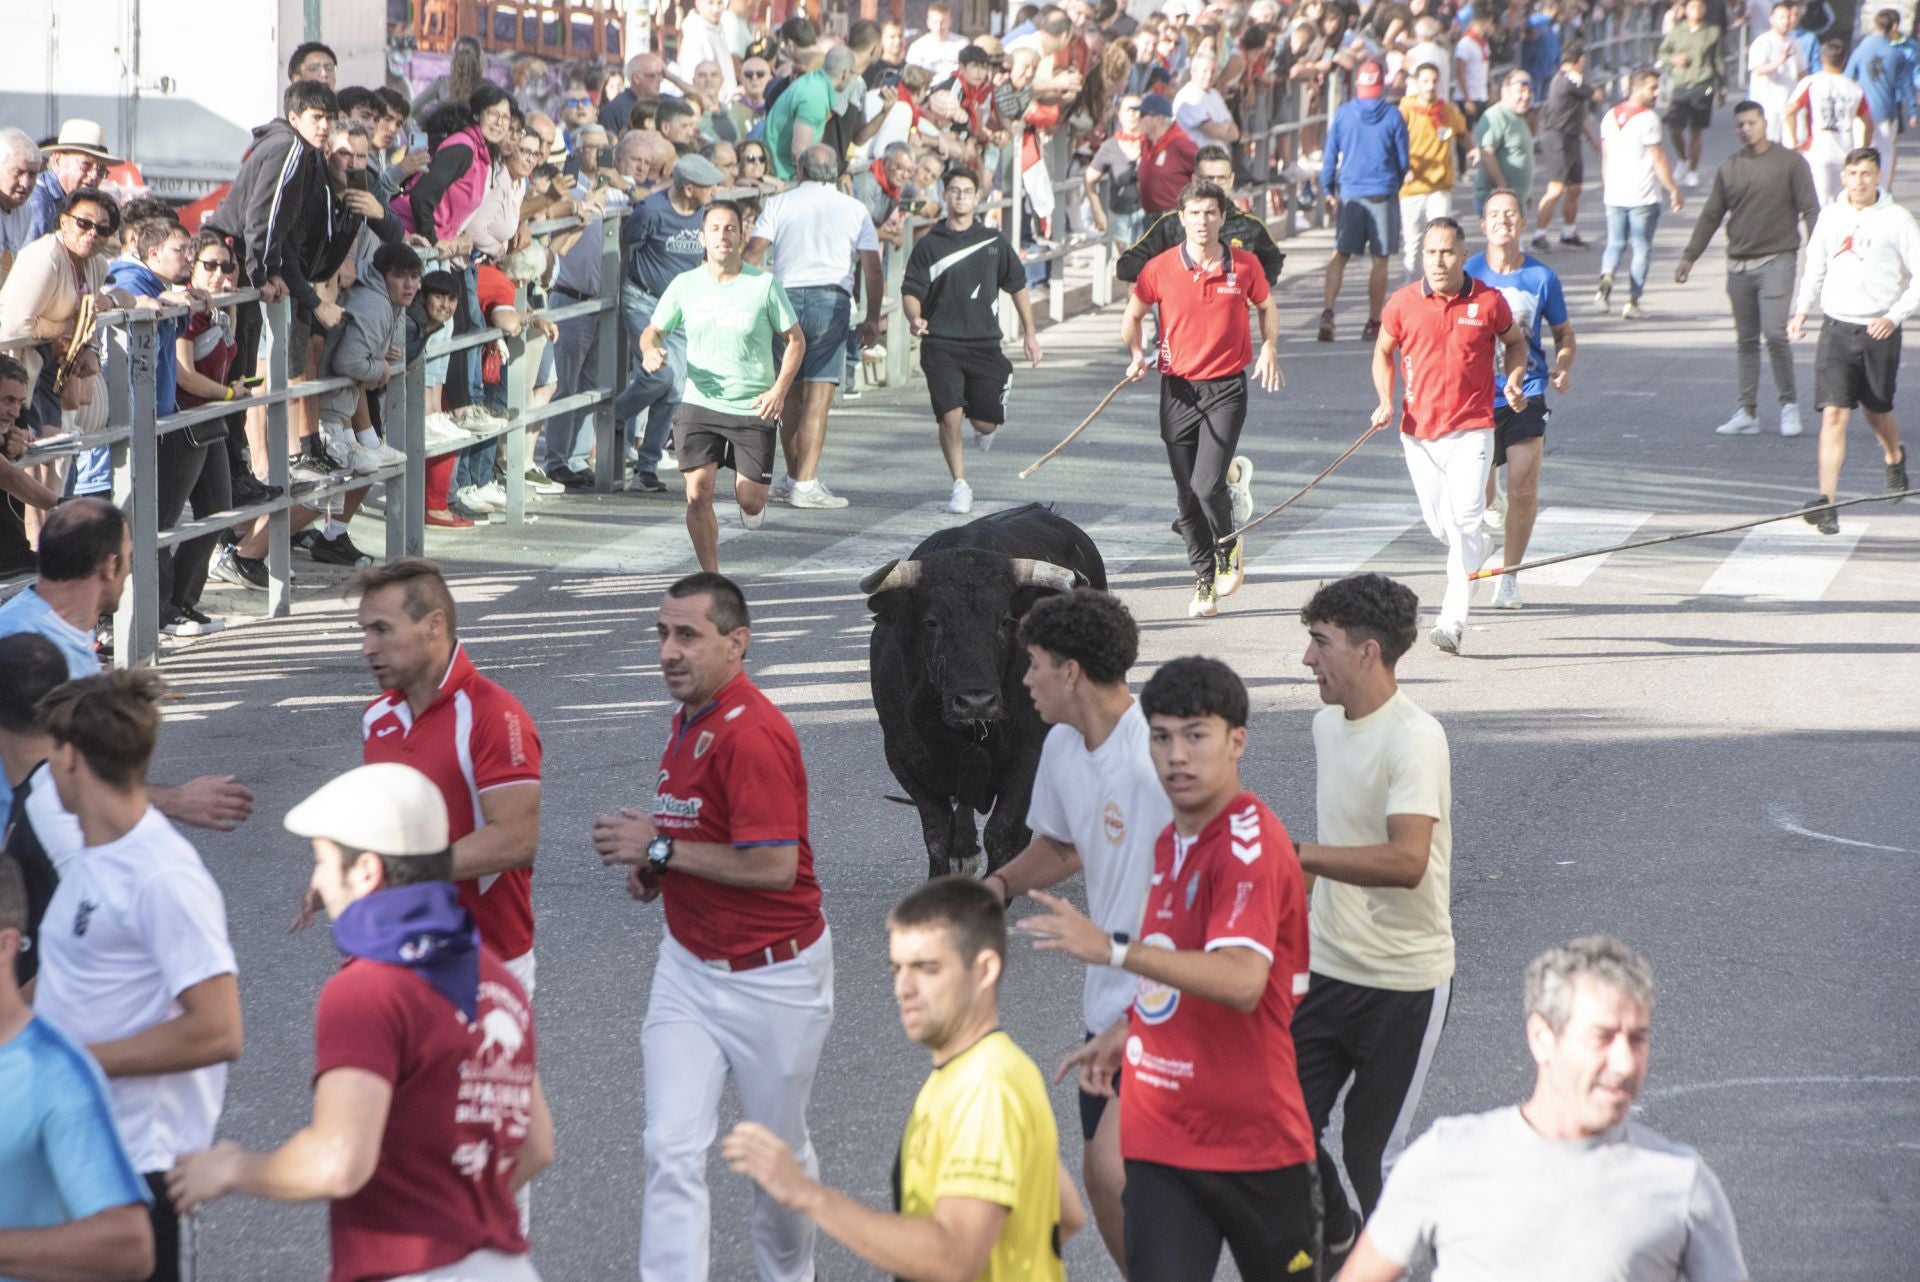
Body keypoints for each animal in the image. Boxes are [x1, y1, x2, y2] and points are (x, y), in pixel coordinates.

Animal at [860, 506, 1113, 875]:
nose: (976, 702)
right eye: (931, 622)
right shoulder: (903, 758)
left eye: (1006, 621)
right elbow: (937, 832)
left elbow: (1003, 833)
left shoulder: (1030, 756)